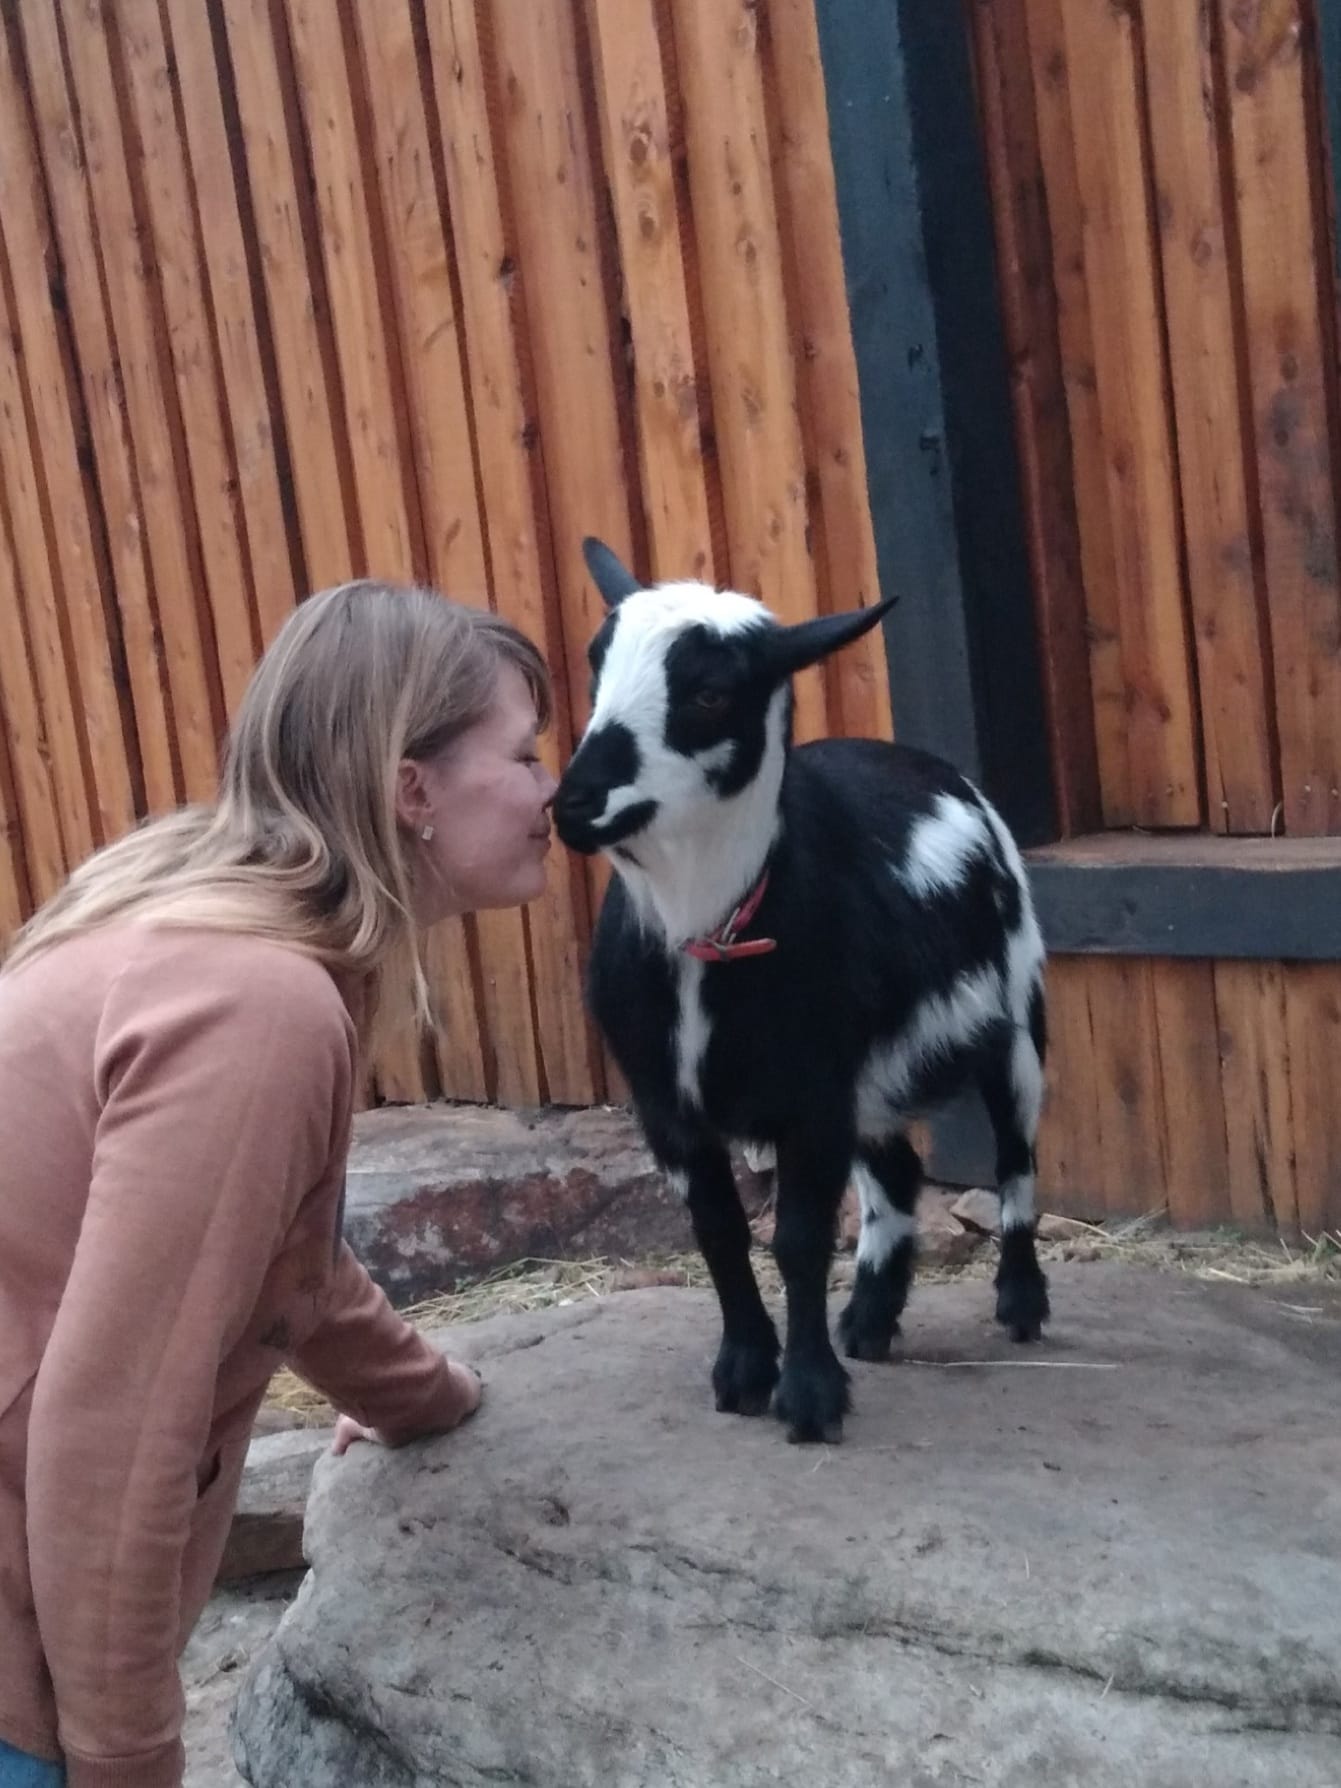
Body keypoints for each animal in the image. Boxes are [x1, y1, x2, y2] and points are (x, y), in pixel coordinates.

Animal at [552, 539, 1050, 1444]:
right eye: (596, 661)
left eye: (711, 691)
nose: (575, 804)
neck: (708, 931)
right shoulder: (669, 1106)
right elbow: (719, 1233)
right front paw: (746, 1371)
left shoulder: (811, 1095)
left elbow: (798, 1238)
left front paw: (810, 1396)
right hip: (871, 1077)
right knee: (893, 1175)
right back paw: (871, 1319)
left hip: (1018, 1017)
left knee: (1014, 1158)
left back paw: (1020, 1304)